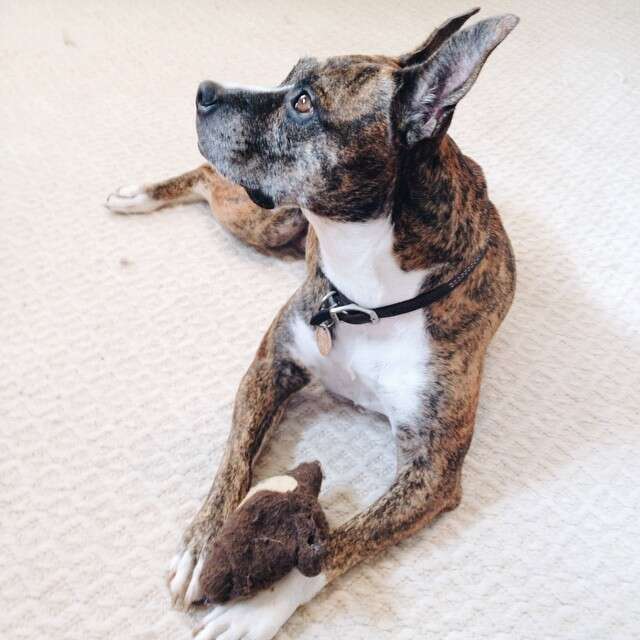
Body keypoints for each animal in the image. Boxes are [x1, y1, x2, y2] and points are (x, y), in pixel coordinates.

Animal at [107, 8, 518, 639]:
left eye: (303, 104)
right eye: (286, 78)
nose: (204, 90)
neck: (365, 295)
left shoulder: (431, 473)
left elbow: (338, 544)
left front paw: (256, 608)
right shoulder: (269, 367)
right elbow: (234, 461)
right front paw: (203, 545)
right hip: (269, 221)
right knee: (205, 177)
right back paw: (140, 193)